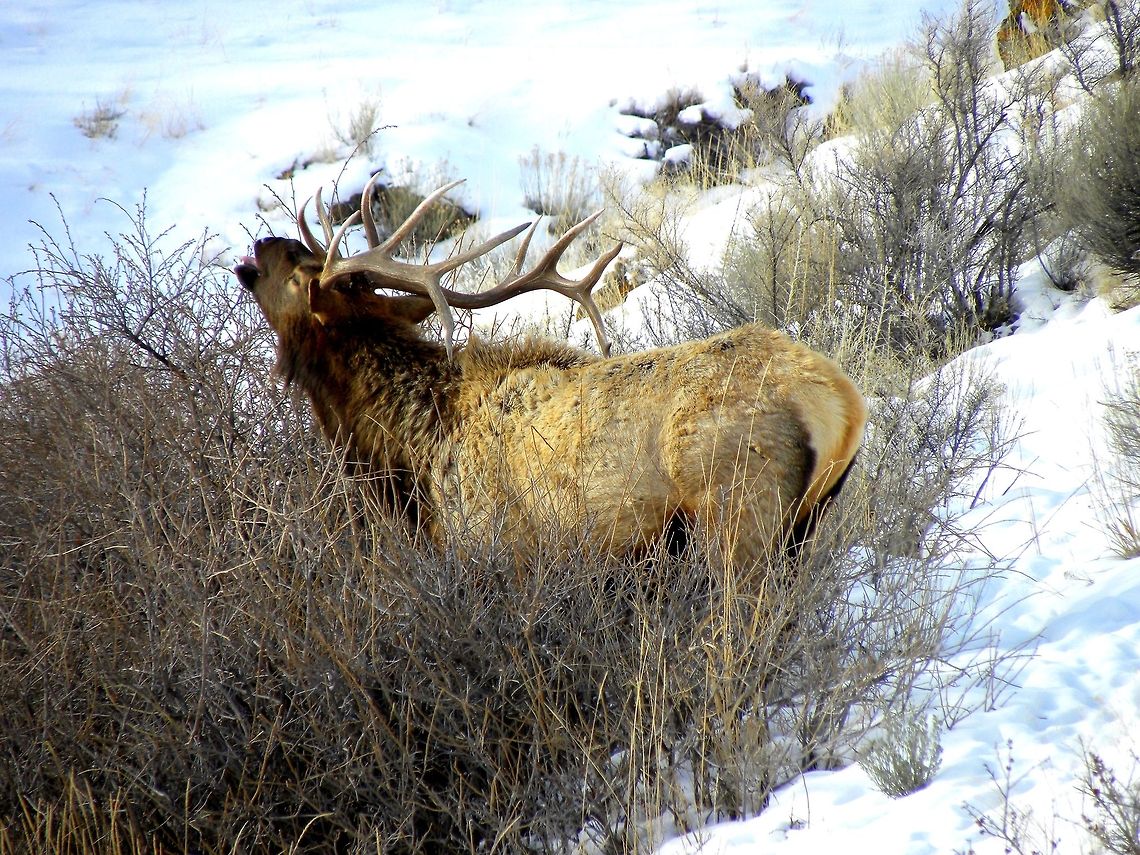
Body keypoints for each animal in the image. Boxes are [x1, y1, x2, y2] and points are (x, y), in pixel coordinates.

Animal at [234, 174, 867, 572]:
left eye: (301, 272)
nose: (262, 242)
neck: (410, 454)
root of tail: (842, 404)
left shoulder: (493, 549)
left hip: (737, 513)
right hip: (803, 530)